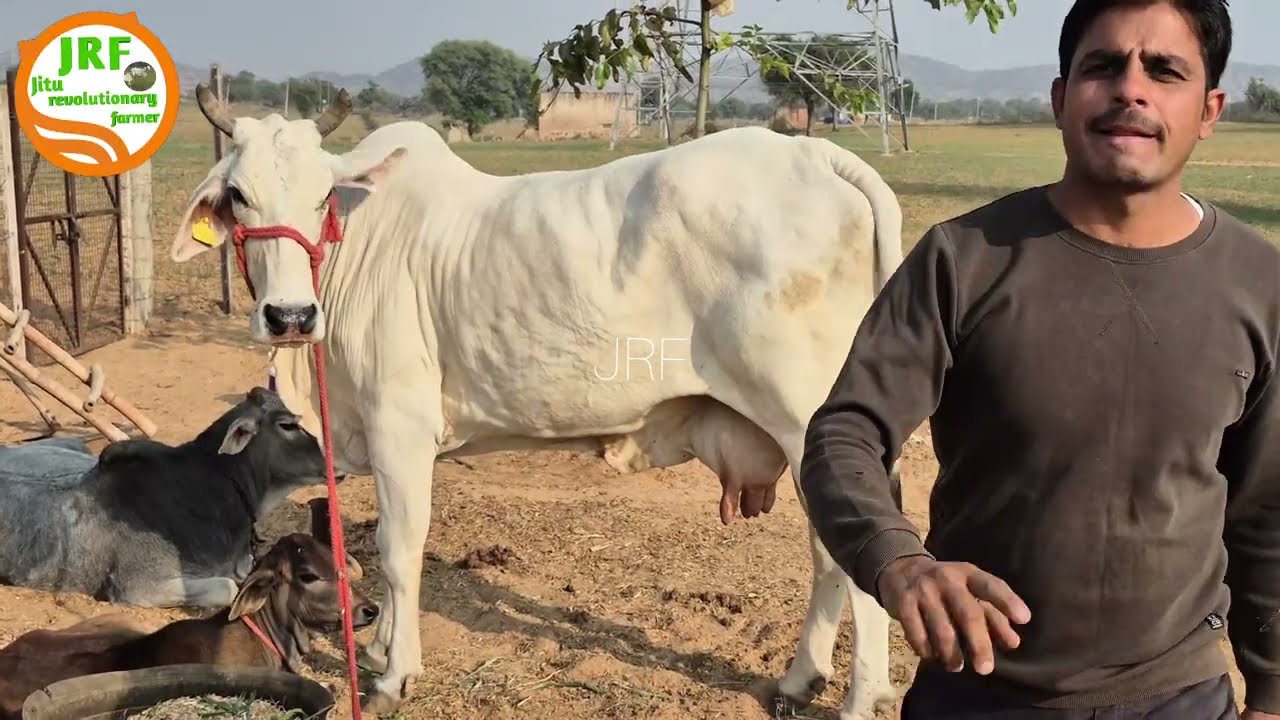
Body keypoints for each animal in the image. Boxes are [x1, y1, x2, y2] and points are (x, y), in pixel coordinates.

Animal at [170, 86, 906, 720]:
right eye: (238, 195)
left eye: (323, 195)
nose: (290, 316)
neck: (358, 250)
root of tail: (814, 154)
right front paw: (379, 647)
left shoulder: (399, 429)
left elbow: (396, 549)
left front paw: (393, 673)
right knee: (828, 552)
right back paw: (801, 677)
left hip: (805, 418)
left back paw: (859, 697)